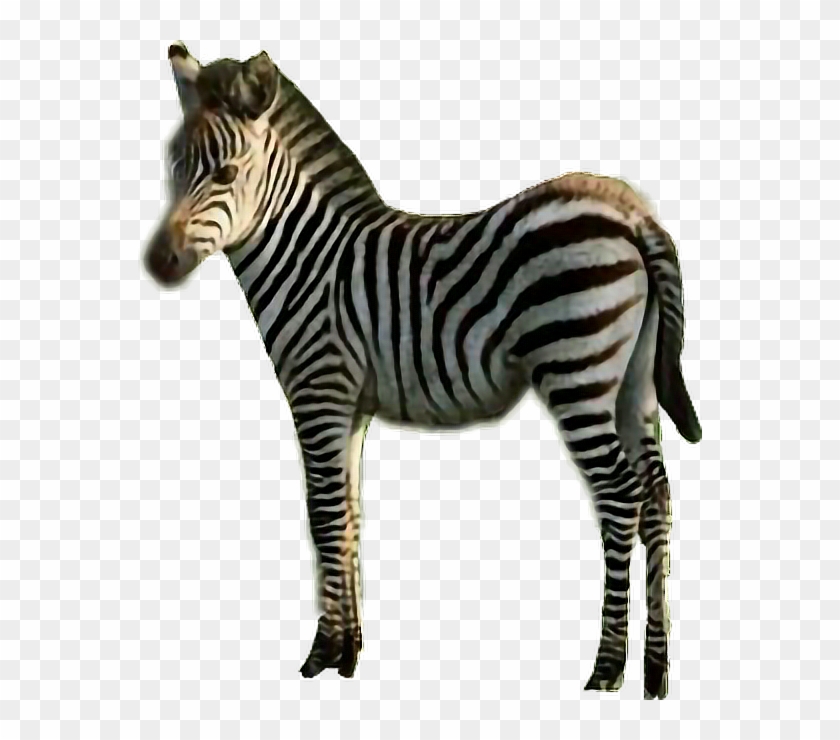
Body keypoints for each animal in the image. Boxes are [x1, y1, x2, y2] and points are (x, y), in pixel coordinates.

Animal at [144, 43, 702, 699]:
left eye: (226, 175)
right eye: (171, 168)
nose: (158, 263)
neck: (306, 255)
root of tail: (633, 212)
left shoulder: (318, 389)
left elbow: (322, 514)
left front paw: (321, 654)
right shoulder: (351, 407)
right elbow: (350, 513)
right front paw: (351, 649)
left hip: (576, 370)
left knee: (619, 497)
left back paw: (607, 667)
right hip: (634, 381)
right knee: (658, 495)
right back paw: (656, 669)